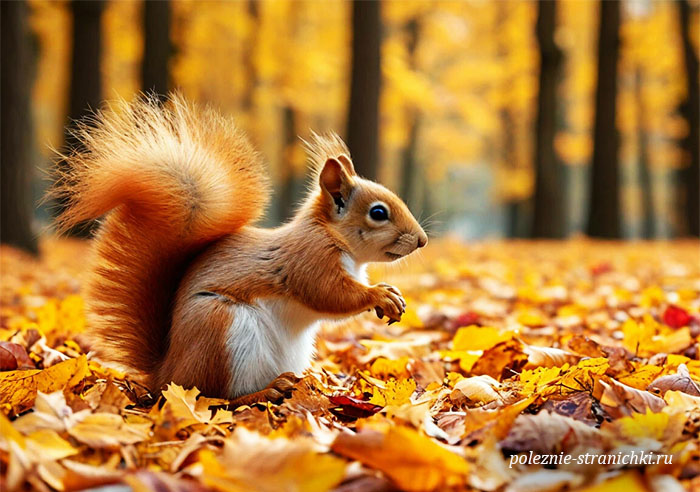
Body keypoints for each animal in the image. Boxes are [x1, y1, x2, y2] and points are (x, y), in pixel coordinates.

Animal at [52, 94, 426, 406]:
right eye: (378, 213)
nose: (421, 240)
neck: (333, 236)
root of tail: (165, 374)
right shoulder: (309, 259)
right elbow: (331, 295)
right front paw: (380, 295)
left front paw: (391, 293)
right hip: (221, 332)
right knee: (213, 396)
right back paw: (265, 392)